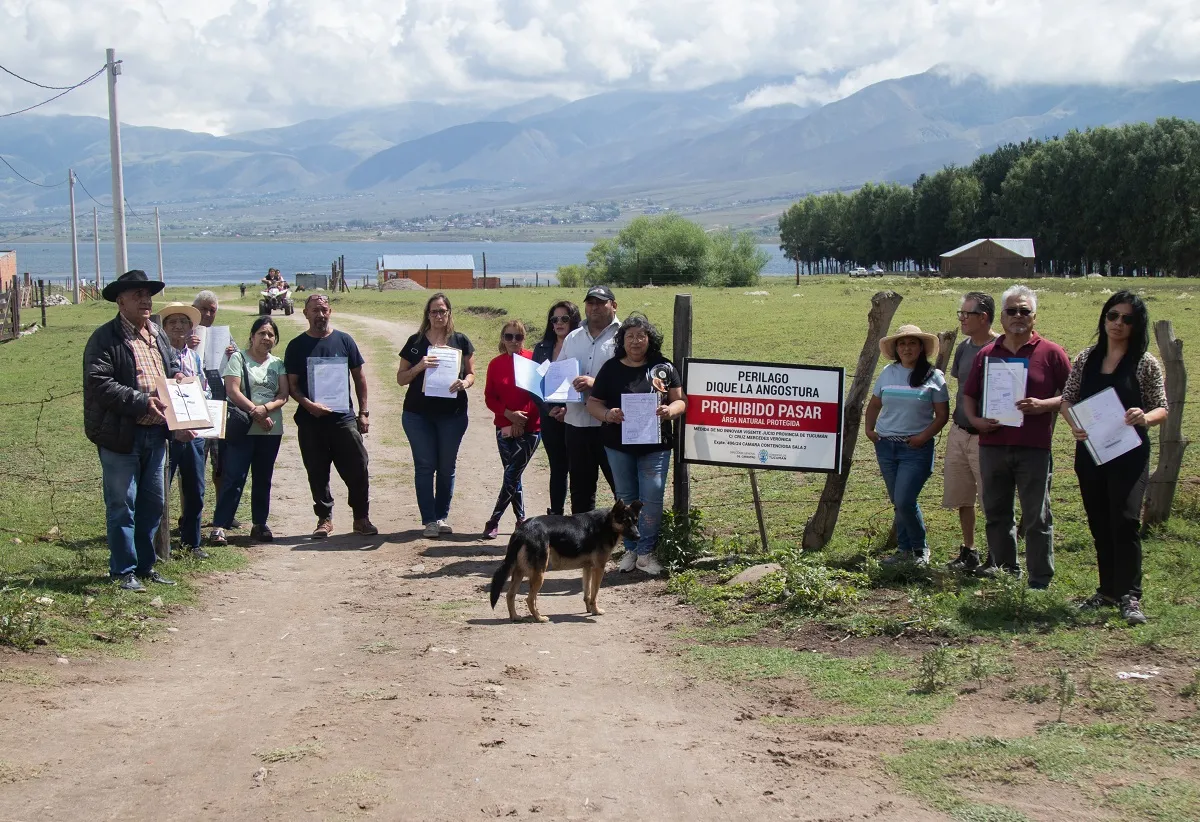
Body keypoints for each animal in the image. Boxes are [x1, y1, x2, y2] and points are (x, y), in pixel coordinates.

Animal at [487, 499, 643, 624]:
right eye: (625, 521)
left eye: (635, 521)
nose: (638, 536)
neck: (607, 523)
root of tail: (522, 530)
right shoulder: (599, 568)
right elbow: (594, 594)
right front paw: (596, 610)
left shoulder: (587, 568)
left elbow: (587, 593)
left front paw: (589, 609)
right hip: (539, 574)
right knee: (530, 599)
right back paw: (539, 618)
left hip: (519, 572)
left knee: (510, 595)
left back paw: (515, 617)